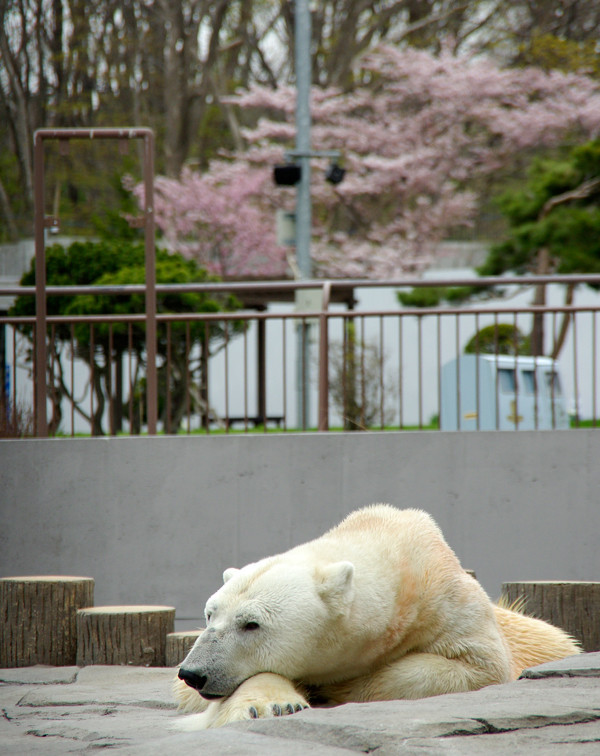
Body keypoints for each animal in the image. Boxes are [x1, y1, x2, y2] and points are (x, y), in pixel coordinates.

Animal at [173, 504, 580, 728]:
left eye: (251, 623)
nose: (194, 672)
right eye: (209, 615)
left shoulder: (449, 604)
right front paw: (274, 704)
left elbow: (478, 666)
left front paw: (342, 688)